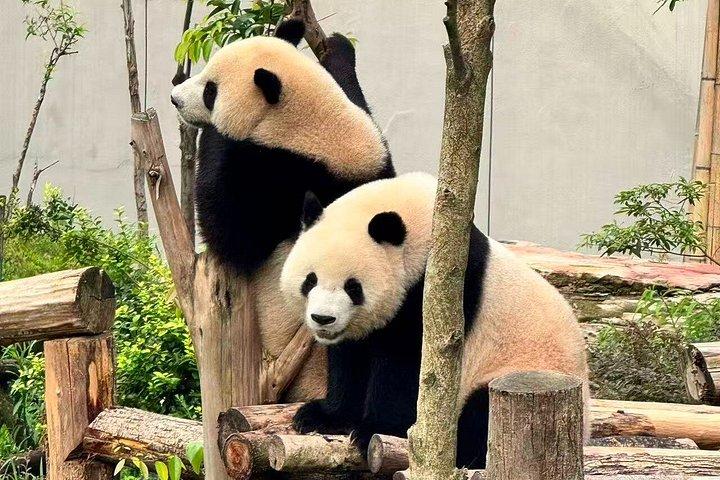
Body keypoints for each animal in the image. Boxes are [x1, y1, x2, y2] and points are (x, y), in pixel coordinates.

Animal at [170, 20, 395, 400]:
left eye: (211, 91)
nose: (175, 98)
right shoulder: (374, 161)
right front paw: (336, 48)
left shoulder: (279, 180)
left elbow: (233, 234)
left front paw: (217, 132)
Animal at [280, 172, 589, 468]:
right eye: (310, 280)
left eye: (353, 287)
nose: (323, 318)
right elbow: (350, 358)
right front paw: (322, 416)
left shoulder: (437, 293)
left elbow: (407, 365)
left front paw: (375, 430)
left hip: (520, 369)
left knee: (482, 413)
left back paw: (462, 452)